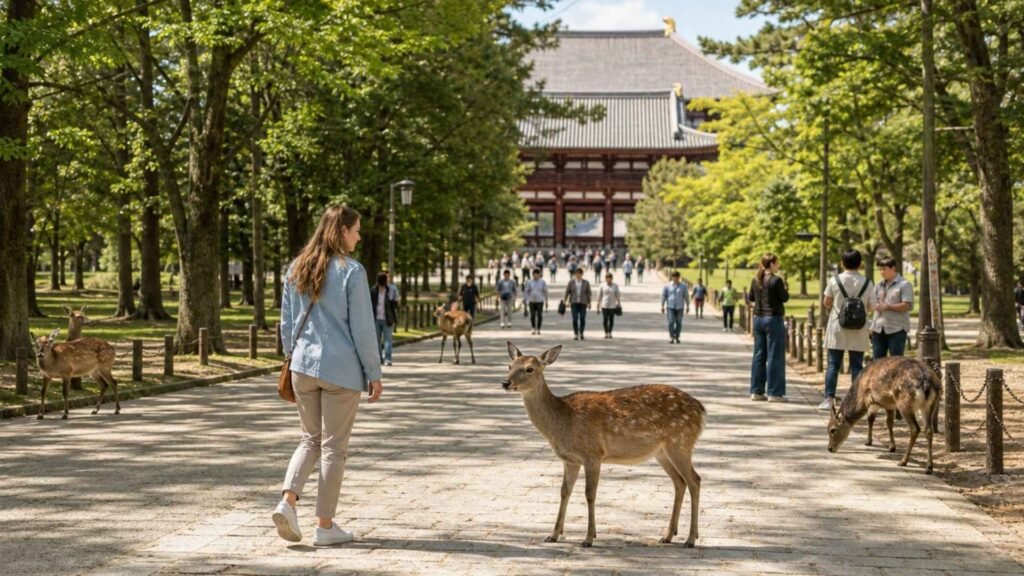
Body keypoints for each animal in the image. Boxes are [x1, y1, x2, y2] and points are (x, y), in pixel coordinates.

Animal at [501, 342, 705, 548]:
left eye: (530, 368)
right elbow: (564, 491)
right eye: (509, 366)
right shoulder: (570, 459)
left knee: (694, 480)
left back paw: (690, 539)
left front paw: (588, 538)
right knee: (679, 482)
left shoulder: (593, 453)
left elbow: (590, 493)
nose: (505, 382)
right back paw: (668, 535)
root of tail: (701, 410)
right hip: (662, 452)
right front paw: (553, 535)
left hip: (681, 443)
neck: (564, 422)